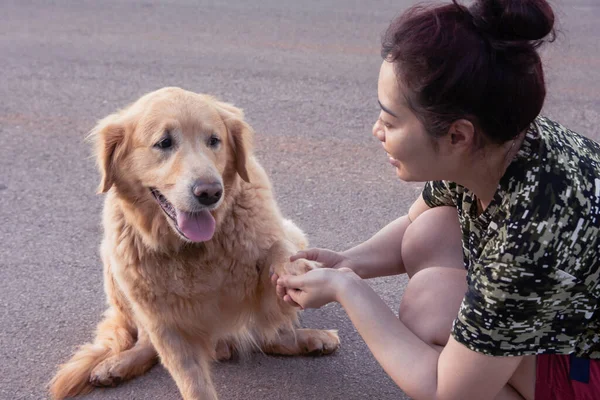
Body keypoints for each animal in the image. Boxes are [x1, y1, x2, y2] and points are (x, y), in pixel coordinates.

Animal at [49, 88, 340, 400]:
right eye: (164, 143)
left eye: (214, 140)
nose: (210, 192)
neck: (192, 248)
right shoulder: (165, 324)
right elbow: (191, 381)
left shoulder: (267, 281)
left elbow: (279, 251)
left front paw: (297, 271)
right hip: (114, 268)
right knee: (147, 344)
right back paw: (115, 365)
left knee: (271, 337)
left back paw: (313, 339)